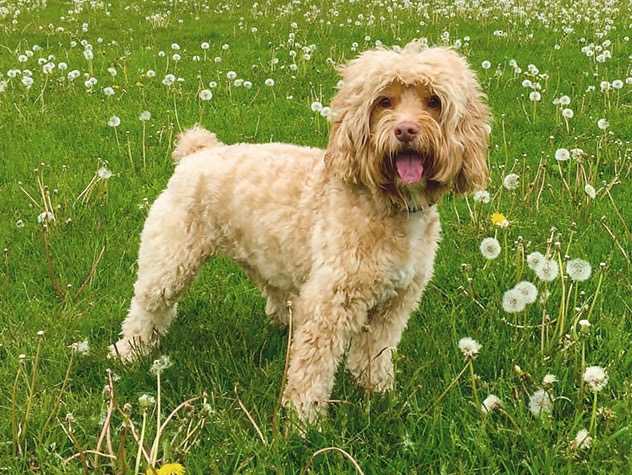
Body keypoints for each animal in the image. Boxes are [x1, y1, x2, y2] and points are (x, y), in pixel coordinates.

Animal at [111, 40, 492, 420]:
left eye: (434, 102)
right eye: (384, 101)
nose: (406, 131)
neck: (388, 204)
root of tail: (197, 152)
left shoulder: (395, 304)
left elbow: (375, 354)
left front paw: (377, 394)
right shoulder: (330, 303)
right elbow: (313, 366)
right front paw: (304, 418)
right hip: (171, 259)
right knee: (147, 306)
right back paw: (128, 352)